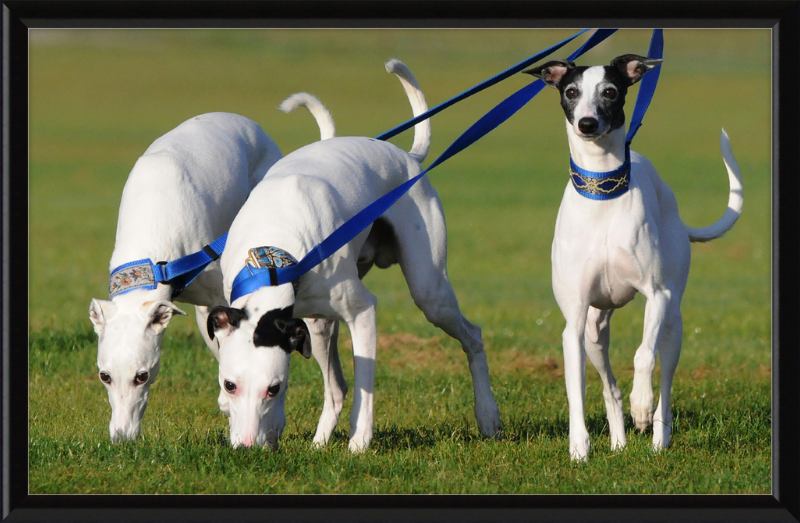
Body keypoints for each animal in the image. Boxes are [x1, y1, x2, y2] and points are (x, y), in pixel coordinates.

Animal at [208, 59, 500, 452]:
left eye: (274, 388)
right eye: (230, 385)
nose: (248, 447)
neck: (271, 257)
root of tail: (408, 157)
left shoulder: (362, 312)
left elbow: (365, 384)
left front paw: (359, 440)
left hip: (431, 293)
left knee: (472, 337)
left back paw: (487, 415)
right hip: (318, 328)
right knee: (336, 388)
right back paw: (319, 441)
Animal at [524, 55, 744, 460]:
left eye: (610, 91)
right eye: (571, 92)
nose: (587, 124)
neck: (602, 192)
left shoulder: (656, 296)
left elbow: (643, 354)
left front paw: (641, 405)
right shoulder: (574, 321)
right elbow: (576, 389)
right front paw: (579, 448)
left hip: (674, 323)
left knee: (665, 379)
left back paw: (657, 437)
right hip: (595, 331)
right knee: (609, 386)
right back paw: (619, 442)